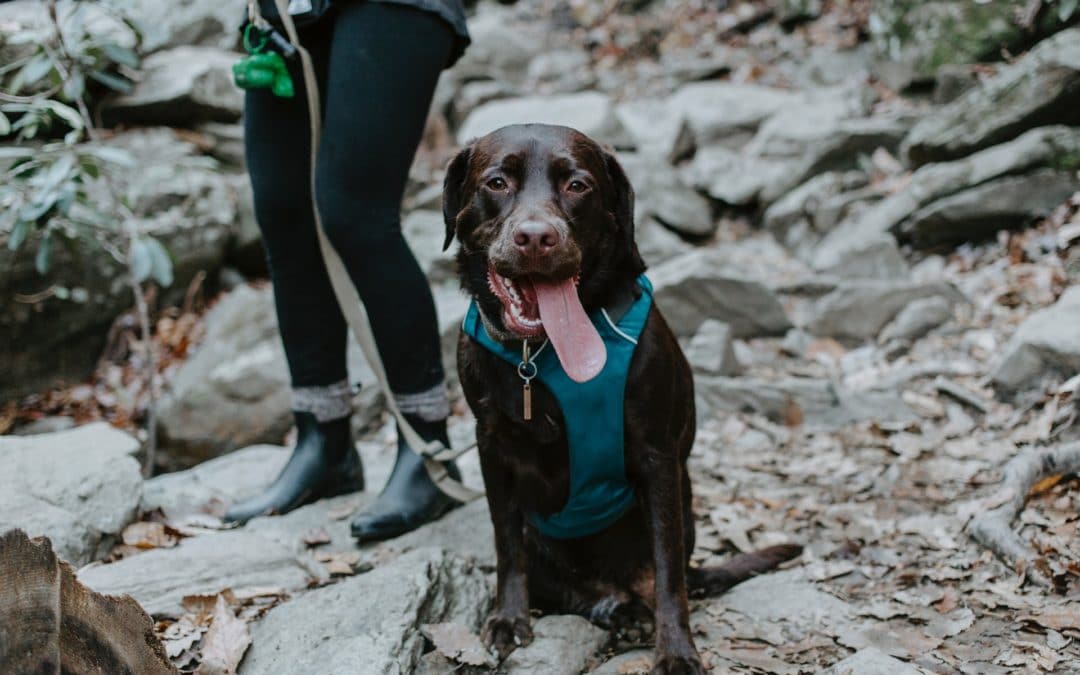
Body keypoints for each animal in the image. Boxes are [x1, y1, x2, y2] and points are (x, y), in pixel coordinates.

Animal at [440, 123, 803, 669]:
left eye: (578, 186)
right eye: (497, 182)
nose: (536, 238)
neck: (544, 353)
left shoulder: (658, 459)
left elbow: (668, 571)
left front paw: (676, 650)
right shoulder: (492, 448)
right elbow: (506, 544)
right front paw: (508, 618)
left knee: (661, 575)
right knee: (567, 584)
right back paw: (613, 608)